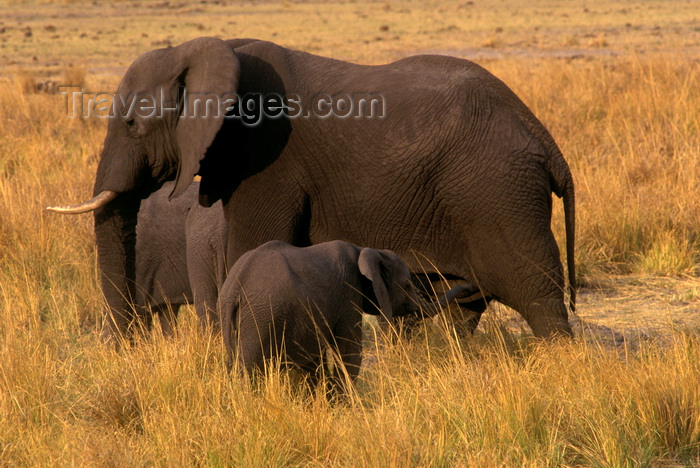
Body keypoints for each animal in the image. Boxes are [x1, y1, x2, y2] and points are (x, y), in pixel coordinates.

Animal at [47, 36, 576, 342]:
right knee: (464, 306)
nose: (128, 346)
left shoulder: (267, 156)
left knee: (538, 298)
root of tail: (546, 142)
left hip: (500, 194)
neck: (200, 52)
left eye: (132, 125)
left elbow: (252, 244)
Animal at [219, 241, 470, 394]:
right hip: (261, 317)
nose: (469, 288)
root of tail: (233, 290)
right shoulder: (348, 295)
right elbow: (349, 353)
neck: (365, 250)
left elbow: (315, 359)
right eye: (407, 285)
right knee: (248, 368)